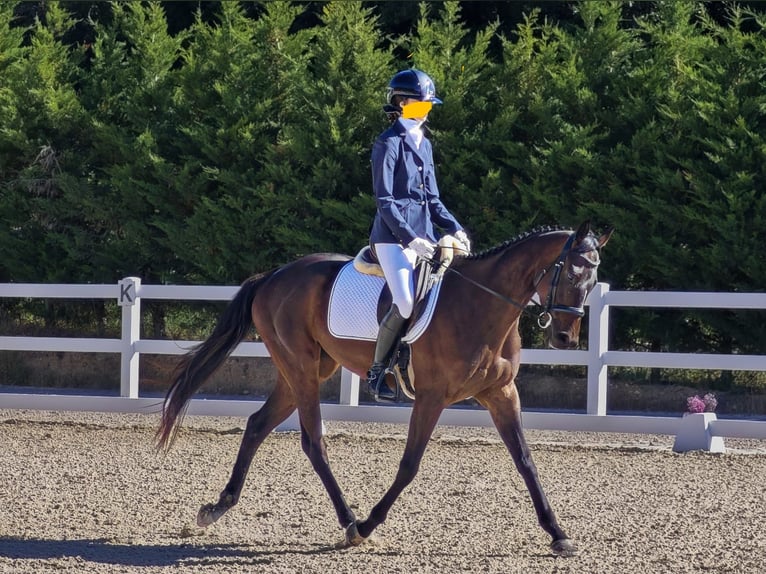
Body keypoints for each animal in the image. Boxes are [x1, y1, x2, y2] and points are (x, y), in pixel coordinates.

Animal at [159, 220, 616, 560]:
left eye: (594, 278)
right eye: (571, 272)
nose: (565, 338)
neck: (481, 307)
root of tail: (274, 275)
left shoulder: (502, 393)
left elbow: (525, 461)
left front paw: (558, 534)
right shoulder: (432, 397)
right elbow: (409, 466)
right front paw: (367, 524)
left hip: (305, 371)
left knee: (257, 424)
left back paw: (217, 507)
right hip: (301, 369)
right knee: (313, 441)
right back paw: (349, 522)